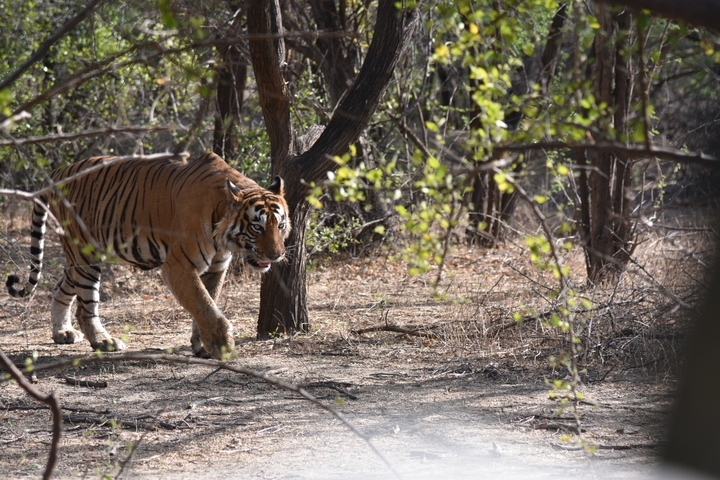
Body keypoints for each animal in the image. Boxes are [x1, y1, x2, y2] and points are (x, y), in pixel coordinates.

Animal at [6, 152, 290, 360]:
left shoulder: (216, 268)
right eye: (257, 227)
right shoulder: (179, 266)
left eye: (281, 225)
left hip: (80, 256)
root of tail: (57, 173)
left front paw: (202, 346)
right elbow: (205, 306)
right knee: (85, 306)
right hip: (86, 254)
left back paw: (63, 332)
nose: (277, 256)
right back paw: (103, 341)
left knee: (61, 288)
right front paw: (222, 347)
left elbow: (208, 303)